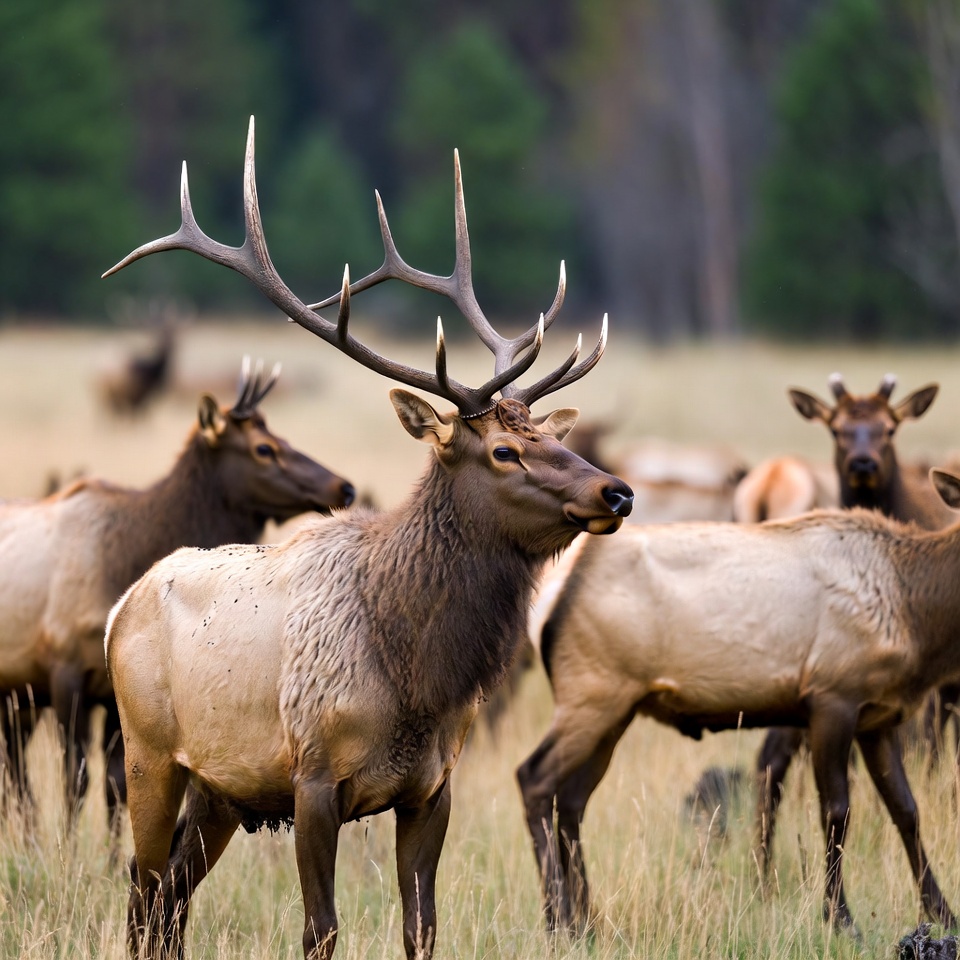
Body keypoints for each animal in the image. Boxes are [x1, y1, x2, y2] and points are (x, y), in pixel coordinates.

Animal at [0, 356, 355, 829]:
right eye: (263, 448)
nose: (344, 487)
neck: (123, 559)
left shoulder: (113, 692)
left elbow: (116, 785)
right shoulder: (64, 668)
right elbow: (76, 779)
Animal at [100, 117, 634, 960]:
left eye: (554, 435)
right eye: (502, 451)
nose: (616, 490)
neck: (416, 680)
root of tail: (122, 607)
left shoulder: (432, 788)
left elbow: (423, 928)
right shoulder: (313, 778)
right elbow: (320, 930)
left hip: (222, 790)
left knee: (170, 899)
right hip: (149, 752)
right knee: (143, 888)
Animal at [517, 468, 960, 939]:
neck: (914, 616)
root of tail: (550, 600)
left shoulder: (878, 718)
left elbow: (907, 810)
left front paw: (943, 911)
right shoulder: (832, 696)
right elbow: (836, 810)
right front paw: (840, 918)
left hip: (617, 709)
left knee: (573, 801)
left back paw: (589, 920)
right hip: (592, 692)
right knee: (534, 778)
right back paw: (558, 921)